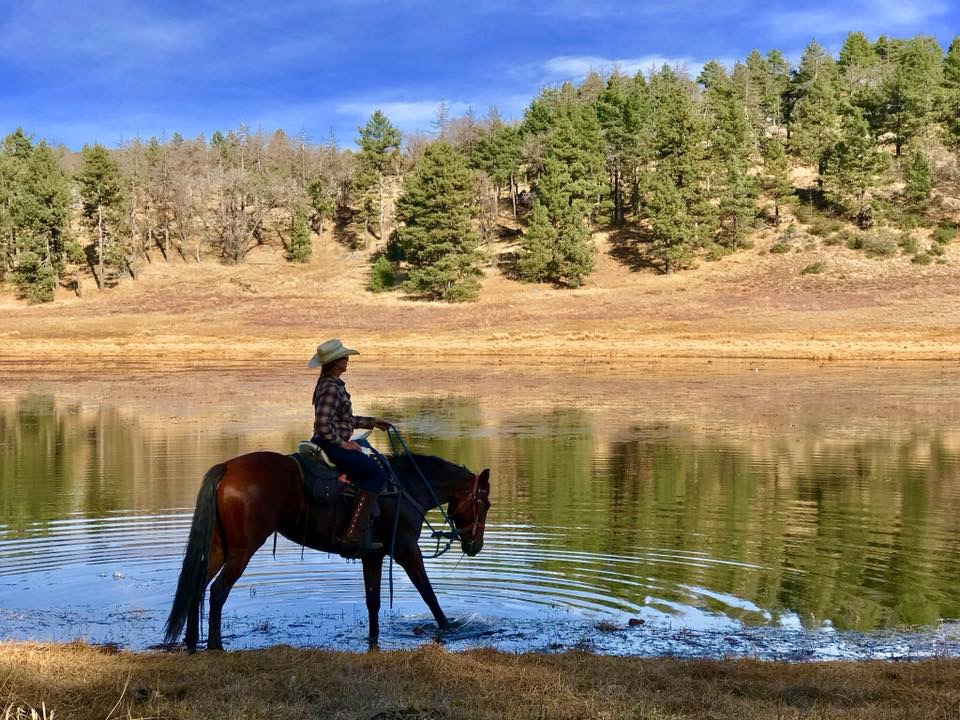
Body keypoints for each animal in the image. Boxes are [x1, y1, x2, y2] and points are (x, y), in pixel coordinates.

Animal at [163, 452, 488, 648]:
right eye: (484, 504)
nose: (475, 545)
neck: (407, 487)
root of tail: (228, 467)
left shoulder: (373, 555)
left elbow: (373, 602)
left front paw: (373, 640)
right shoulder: (407, 551)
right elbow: (428, 594)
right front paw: (450, 627)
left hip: (219, 547)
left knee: (197, 586)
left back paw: (191, 642)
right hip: (241, 551)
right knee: (218, 591)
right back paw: (215, 644)